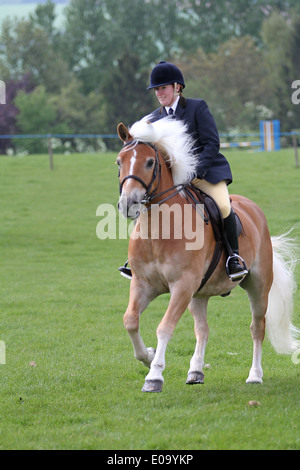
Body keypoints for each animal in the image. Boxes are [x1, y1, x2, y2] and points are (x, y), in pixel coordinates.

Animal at [116, 115, 298, 392]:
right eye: (119, 161)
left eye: (149, 162)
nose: (128, 203)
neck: (158, 232)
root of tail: (253, 209)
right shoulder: (143, 284)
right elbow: (130, 321)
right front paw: (148, 356)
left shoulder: (182, 285)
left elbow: (165, 327)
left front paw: (154, 376)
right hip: (198, 294)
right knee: (202, 329)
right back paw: (195, 371)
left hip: (257, 286)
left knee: (257, 327)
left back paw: (255, 375)